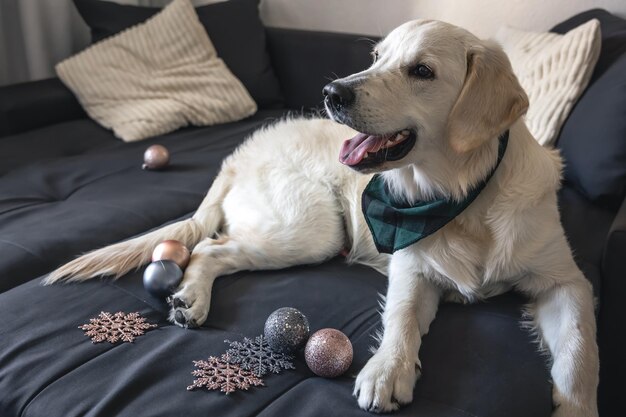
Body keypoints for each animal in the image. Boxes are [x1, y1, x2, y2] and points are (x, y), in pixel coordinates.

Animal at [46, 19, 596, 416]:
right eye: (376, 58)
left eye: (421, 71)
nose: (333, 92)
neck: (459, 197)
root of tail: (238, 155)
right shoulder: (410, 266)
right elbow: (400, 317)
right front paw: (386, 370)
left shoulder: (566, 281)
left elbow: (578, 352)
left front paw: (577, 408)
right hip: (312, 230)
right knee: (208, 247)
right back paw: (191, 297)